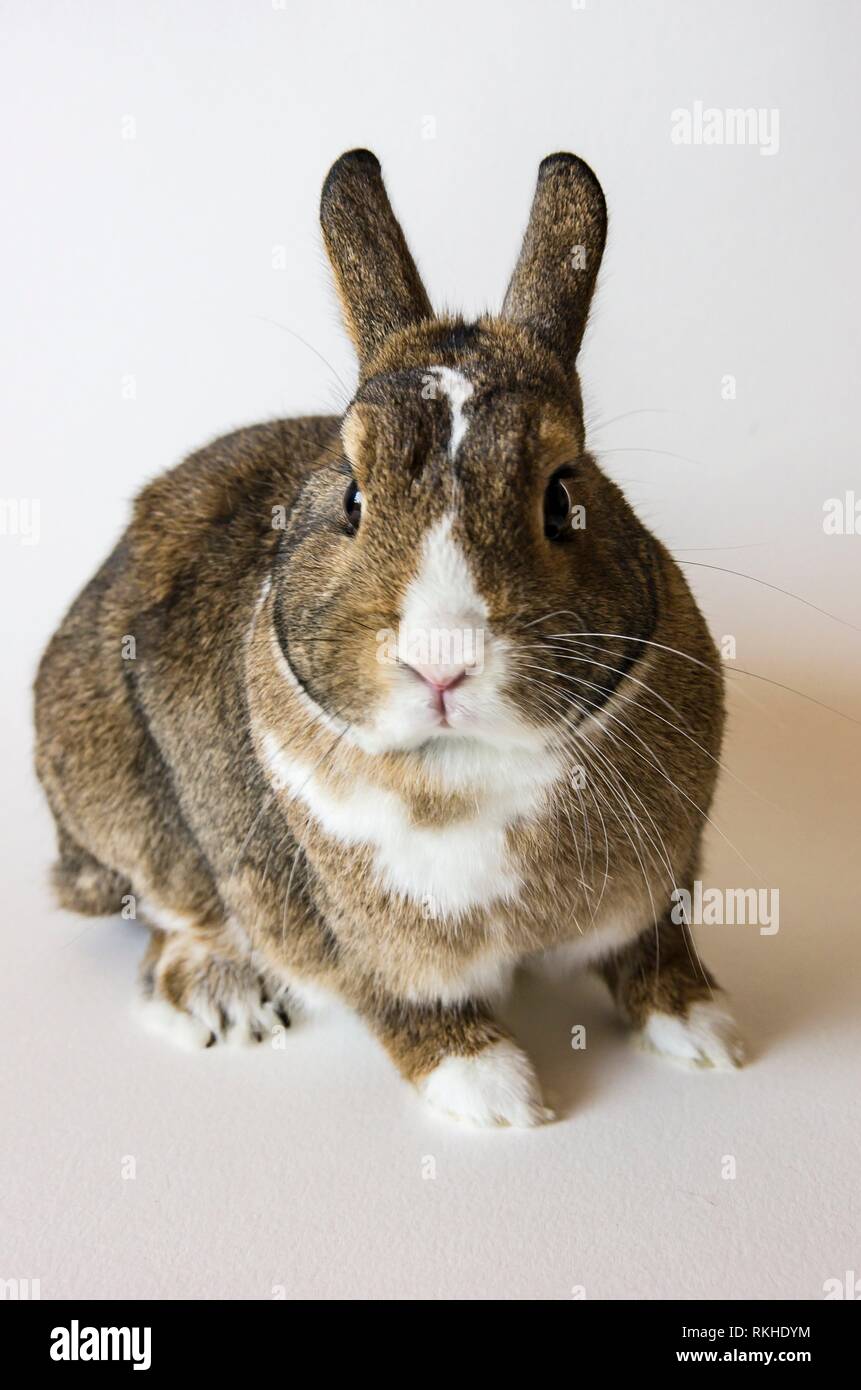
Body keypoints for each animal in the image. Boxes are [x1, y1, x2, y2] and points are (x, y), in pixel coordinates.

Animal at [34, 149, 744, 1127]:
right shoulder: (355, 937)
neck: (465, 771)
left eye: (562, 497)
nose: (441, 660)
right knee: (172, 909)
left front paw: (704, 1029)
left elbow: (655, 955)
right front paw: (493, 1094)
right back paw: (226, 997)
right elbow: (402, 1006)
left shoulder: (661, 885)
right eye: (351, 499)